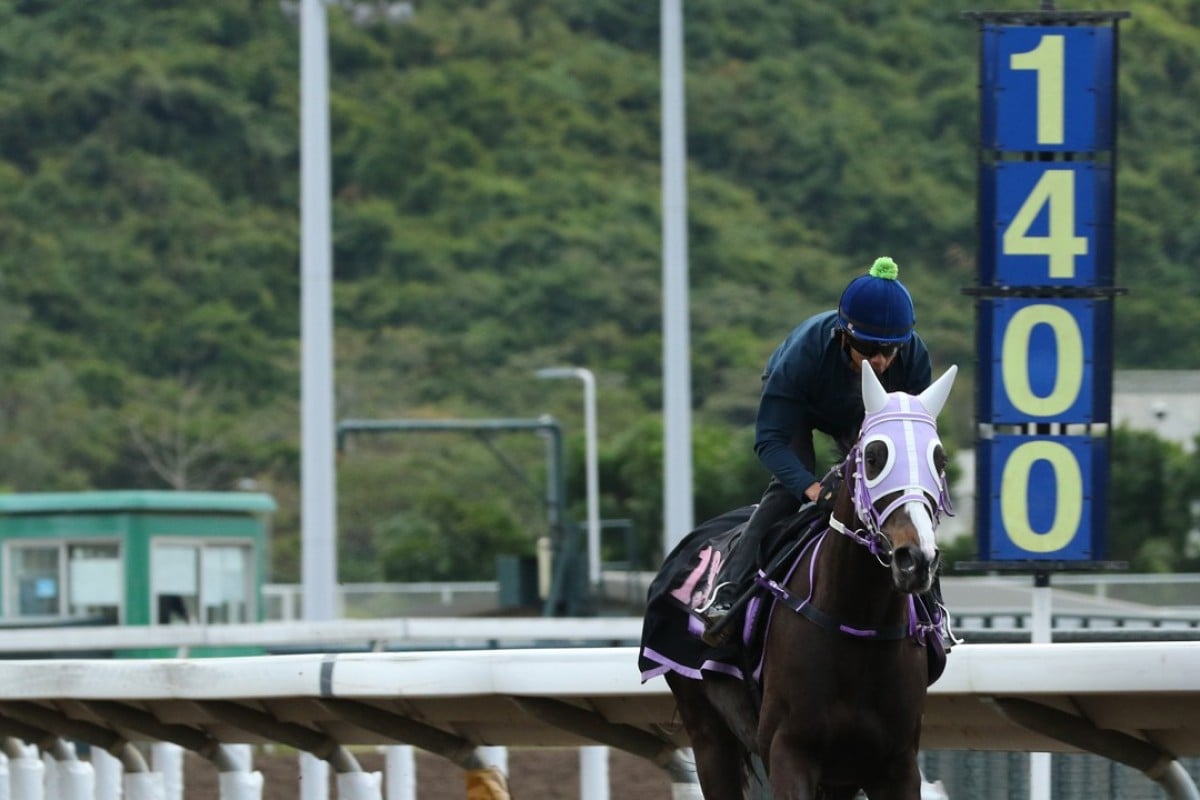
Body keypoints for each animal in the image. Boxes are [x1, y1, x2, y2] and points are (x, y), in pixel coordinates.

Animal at [638, 364, 955, 800]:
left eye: (939, 459)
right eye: (876, 456)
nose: (916, 558)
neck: (858, 624)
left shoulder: (895, 764)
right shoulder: (790, 752)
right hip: (707, 732)